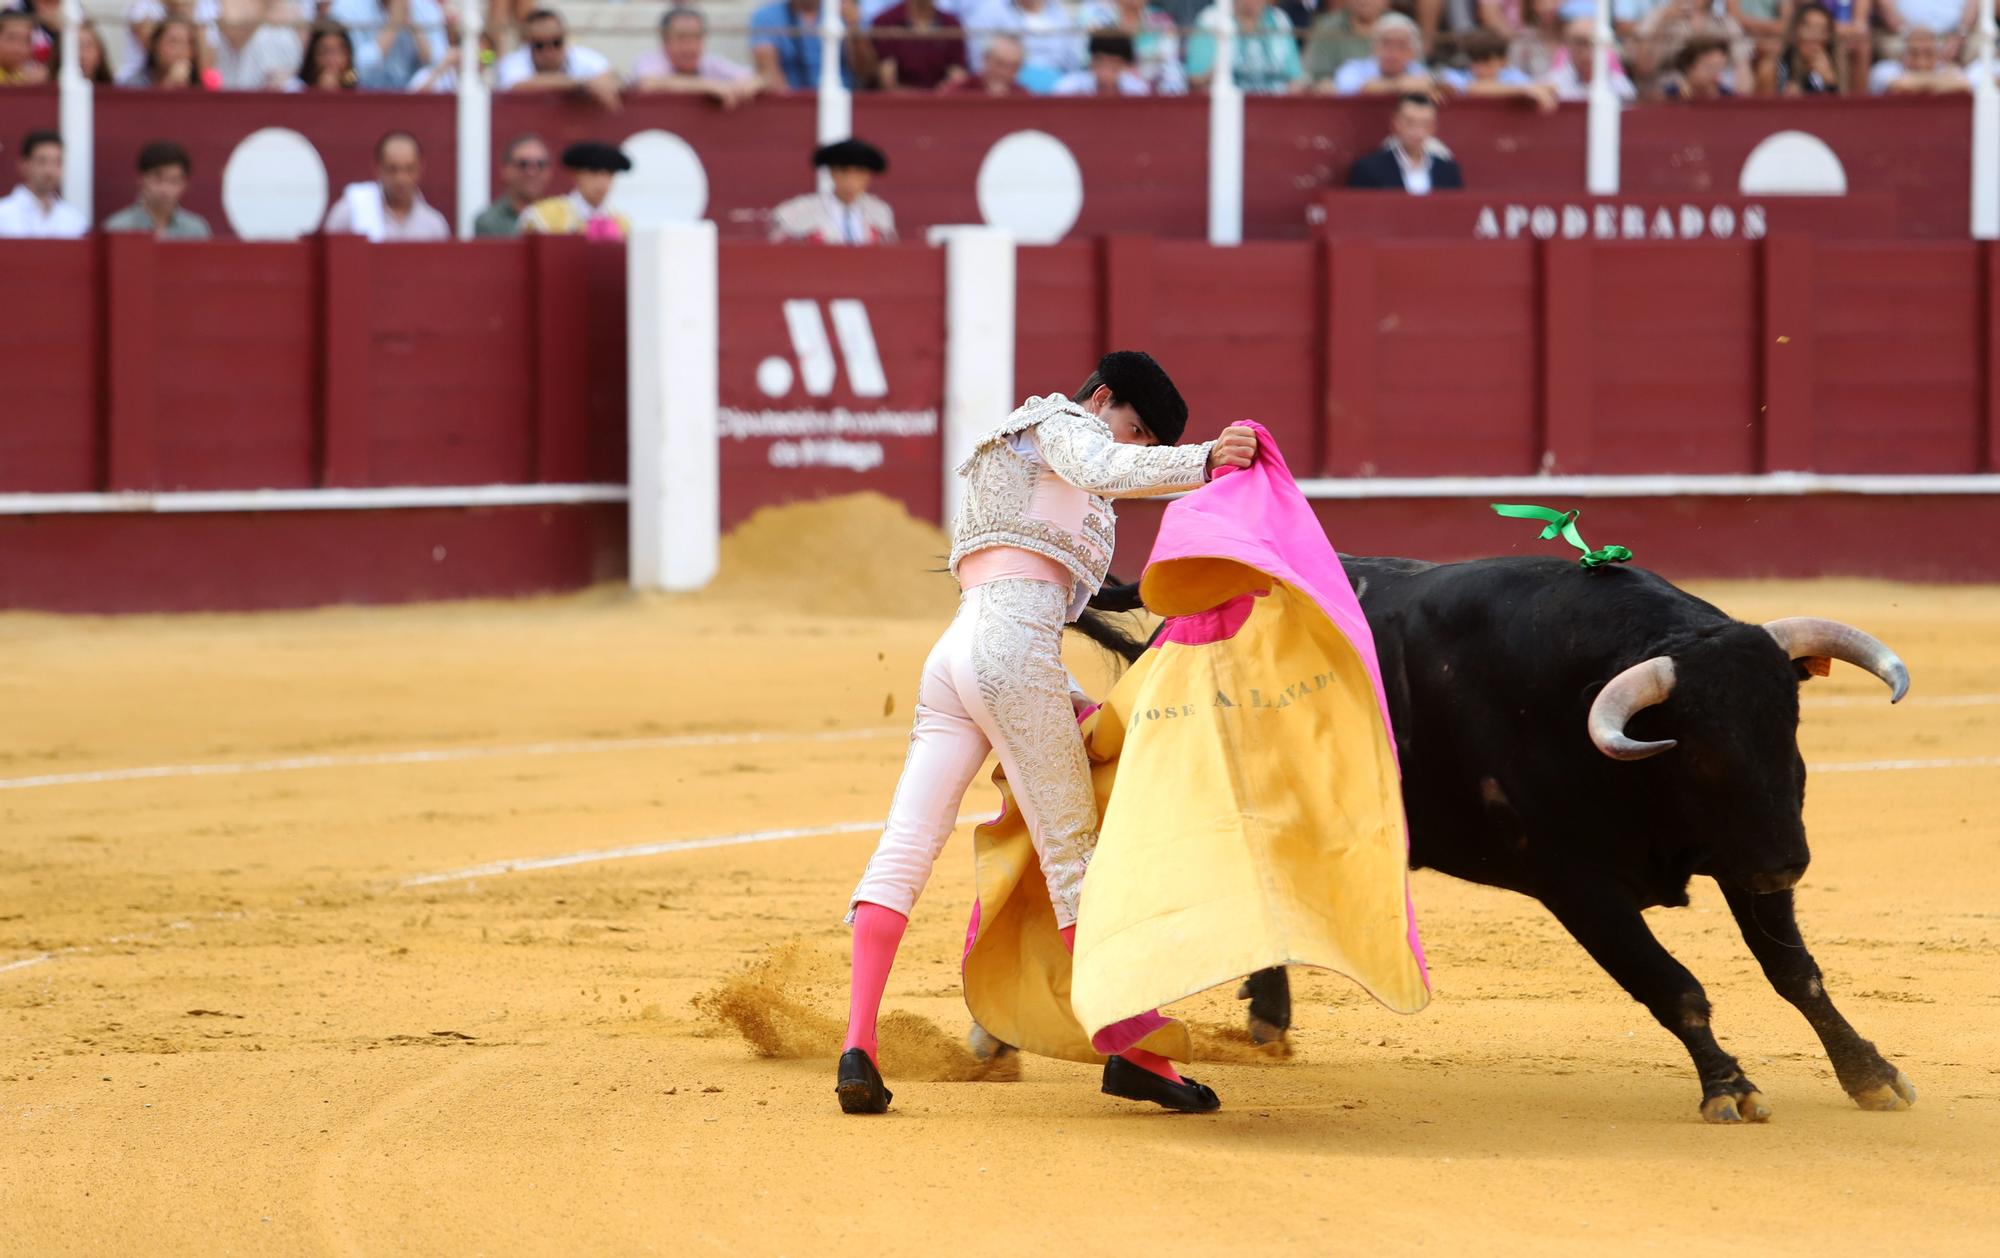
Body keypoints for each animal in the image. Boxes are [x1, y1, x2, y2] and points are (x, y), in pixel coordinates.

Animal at [1080, 556, 1920, 1120]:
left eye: (1788, 725)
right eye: (1703, 749)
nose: (1789, 863)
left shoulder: (1739, 853)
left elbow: (1797, 974)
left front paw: (1871, 1074)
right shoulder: (1580, 886)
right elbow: (1672, 984)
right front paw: (1732, 1088)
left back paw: (1268, 1017)